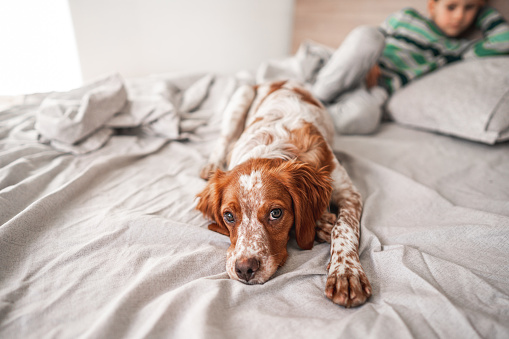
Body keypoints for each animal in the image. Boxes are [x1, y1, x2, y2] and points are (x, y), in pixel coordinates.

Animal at [196, 80, 372, 308]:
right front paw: (321, 224)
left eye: (276, 213)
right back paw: (211, 166)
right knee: (223, 140)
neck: (272, 147)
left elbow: (344, 228)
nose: (244, 269)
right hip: (241, 97)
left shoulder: (350, 193)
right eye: (228, 216)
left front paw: (346, 272)